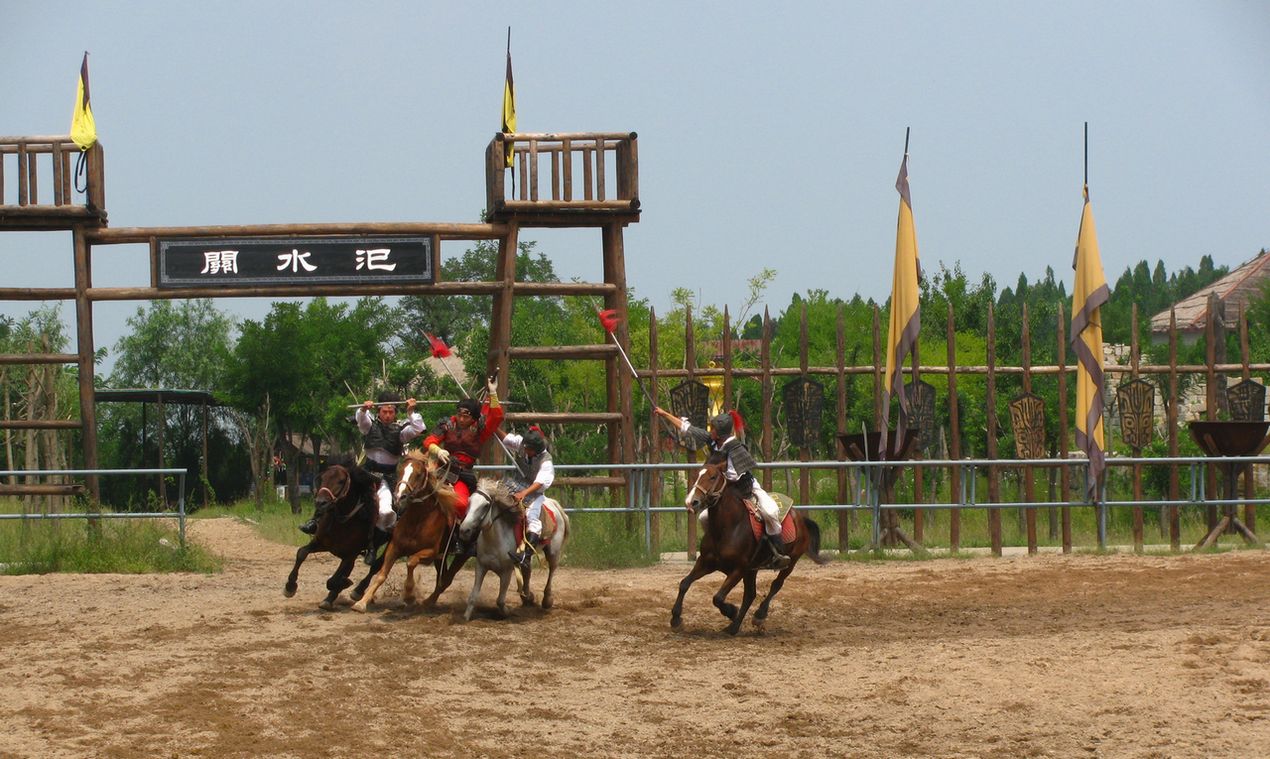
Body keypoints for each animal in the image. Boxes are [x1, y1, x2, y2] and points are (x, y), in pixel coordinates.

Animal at [283, 455, 389, 611]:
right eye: (322, 478)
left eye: (341, 480)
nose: (321, 502)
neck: (342, 521)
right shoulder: (321, 543)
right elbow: (302, 553)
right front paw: (290, 586)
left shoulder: (350, 554)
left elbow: (333, 580)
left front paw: (346, 583)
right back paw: (330, 598)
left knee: (376, 565)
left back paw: (358, 590)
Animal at [351, 449, 459, 613]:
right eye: (400, 470)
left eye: (419, 474)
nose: (400, 496)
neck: (417, 520)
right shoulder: (394, 547)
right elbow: (381, 575)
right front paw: (362, 602)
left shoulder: (431, 552)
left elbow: (411, 562)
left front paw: (409, 595)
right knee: (442, 580)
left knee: (446, 580)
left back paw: (427, 602)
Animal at [456, 478, 570, 621]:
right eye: (470, 501)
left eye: (486, 505)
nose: (464, 530)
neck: (494, 541)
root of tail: (553, 504)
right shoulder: (481, 566)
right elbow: (473, 596)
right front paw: (466, 616)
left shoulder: (507, 571)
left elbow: (500, 600)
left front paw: (507, 612)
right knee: (527, 569)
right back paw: (527, 597)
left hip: (553, 552)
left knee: (552, 570)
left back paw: (546, 600)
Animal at [670, 454, 830, 635]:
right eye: (697, 475)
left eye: (713, 477)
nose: (692, 502)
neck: (728, 528)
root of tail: (800, 518)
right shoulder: (705, 562)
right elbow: (684, 583)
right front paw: (676, 618)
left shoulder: (739, 569)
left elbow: (718, 597)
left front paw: (731, 611)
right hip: (752, 570)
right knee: (750, 594)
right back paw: (734, 627)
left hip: (791, 561)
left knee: (775, 585)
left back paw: (758, 616)